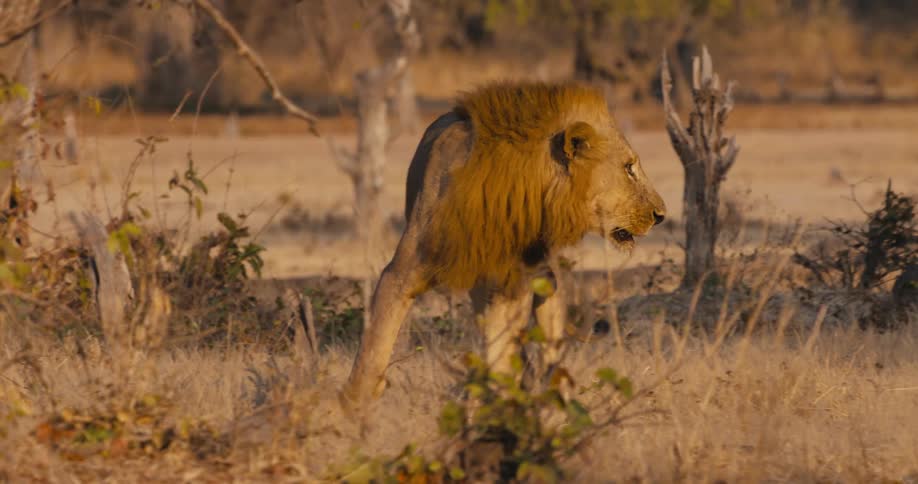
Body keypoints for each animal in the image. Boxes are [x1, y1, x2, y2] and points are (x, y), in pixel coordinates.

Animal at [341, 81, 666, 406]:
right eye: (628, 168)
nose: (661, 215)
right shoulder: (404, 269)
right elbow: (375, 339)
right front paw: (352, 406)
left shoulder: (511, 283)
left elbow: (502, 353)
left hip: (540, 281)